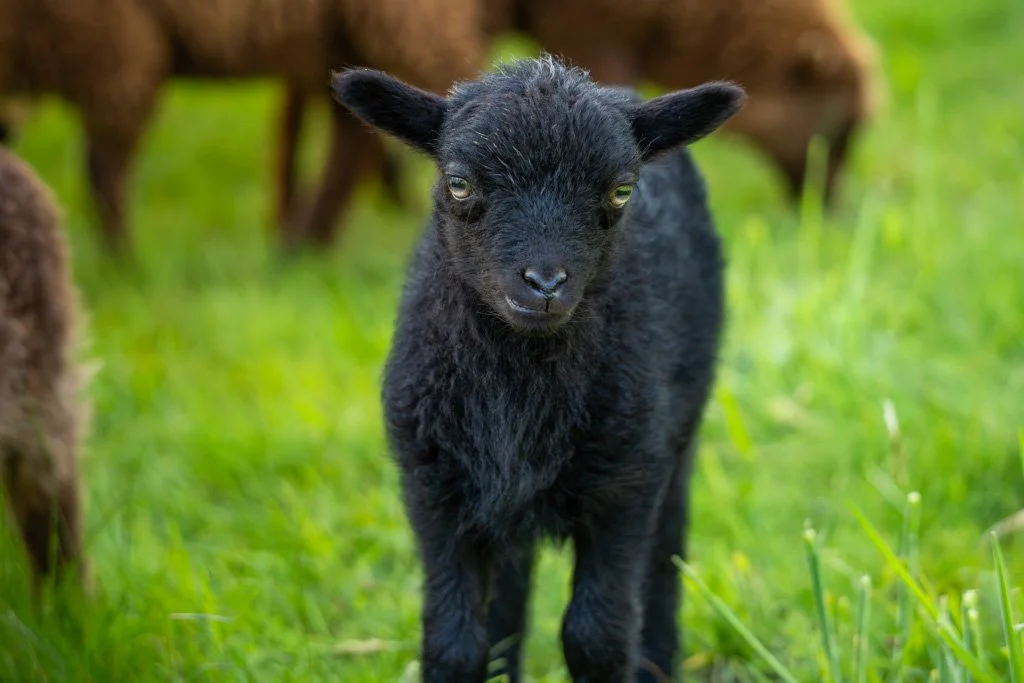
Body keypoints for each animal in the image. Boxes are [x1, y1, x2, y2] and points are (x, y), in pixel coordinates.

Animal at [331, 56, 745, 682]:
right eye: (459, 183)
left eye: (621, 191)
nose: (545, 283)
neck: (519, 382)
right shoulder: (432, 486)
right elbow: (453, 644)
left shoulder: (626, 481)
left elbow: (597, 636)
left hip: (676, 436)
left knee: (664, 562)